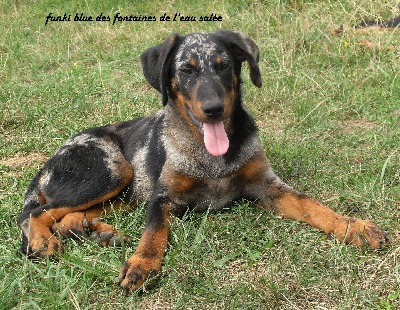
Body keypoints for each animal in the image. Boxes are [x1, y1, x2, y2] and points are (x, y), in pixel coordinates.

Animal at [17, 30, 390, 294]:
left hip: (124, 193)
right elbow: (154, 232)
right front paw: (141, 264)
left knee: (65, 218)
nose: (213, 109)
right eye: (186, 70)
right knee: (35, 213)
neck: (212, 159)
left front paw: (353, 227)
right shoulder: (161, 198)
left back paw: (98, 232)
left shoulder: (269, 187)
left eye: (225, 65)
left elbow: (312, 205)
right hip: (113, 170)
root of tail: (51, 159)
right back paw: (42, 241)